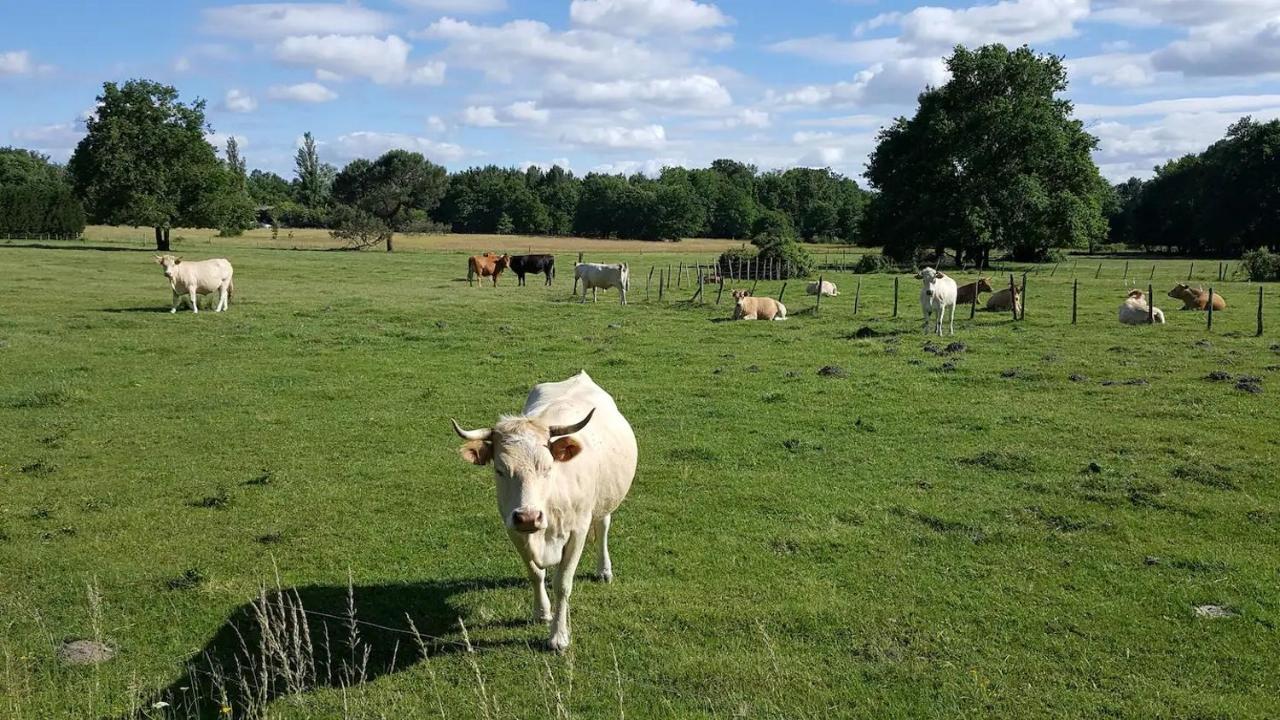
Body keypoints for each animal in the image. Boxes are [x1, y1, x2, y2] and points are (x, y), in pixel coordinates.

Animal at [453, 368, 637, 650]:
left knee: (603, 526)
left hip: (604, 500)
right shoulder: (514, 530)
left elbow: (563, 583)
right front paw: (541, 612)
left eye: (547, 467)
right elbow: (535, 573)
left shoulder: (578, 531)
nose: (528, 516)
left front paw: (558, 636)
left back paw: (604, 570)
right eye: (500, 470)